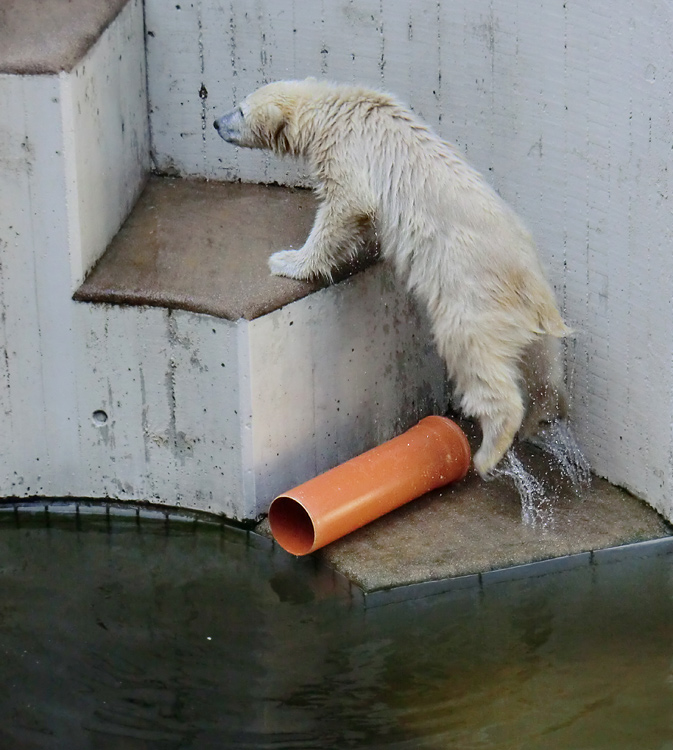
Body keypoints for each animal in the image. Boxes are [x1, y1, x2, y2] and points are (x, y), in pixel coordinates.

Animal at [214, 79, 568, 478]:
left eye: (240, 109)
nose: (215, 122)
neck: (333, 108)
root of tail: (533, 292)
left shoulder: (348, 151)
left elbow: (344, 207)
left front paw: (288, 260)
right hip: (536, 320)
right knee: (543, 369)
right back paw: (540, 416)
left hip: (472, 293)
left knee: (472, 352)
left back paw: (490, 449)